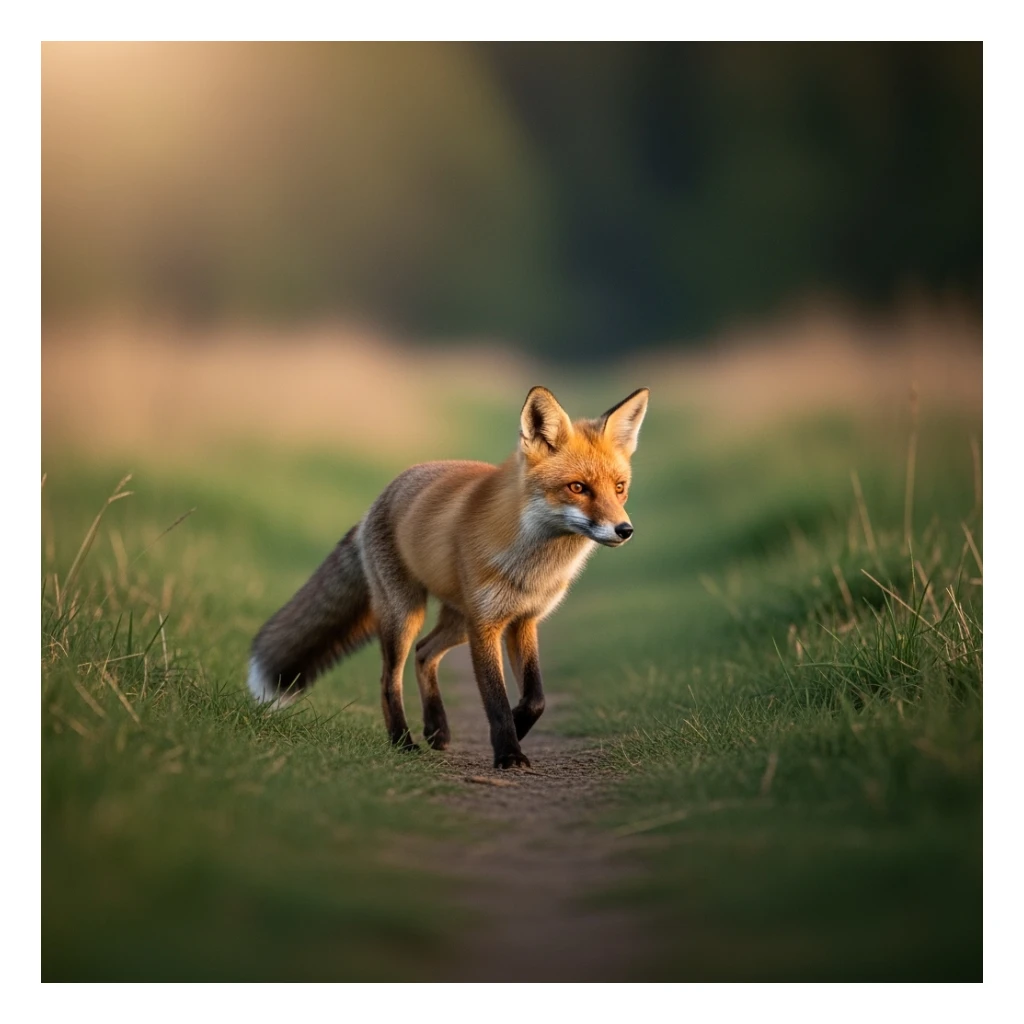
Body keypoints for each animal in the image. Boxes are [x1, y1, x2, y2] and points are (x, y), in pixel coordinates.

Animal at [247, 385, 649, 769]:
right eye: (577, 487)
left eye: (619, 488)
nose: (625, 530)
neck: (533, 565)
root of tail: (376, 502)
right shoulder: (486, 624)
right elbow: (495, 698)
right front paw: (508, 753)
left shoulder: (523, 620)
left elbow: (535, 698)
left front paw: (518, 728)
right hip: (407, 614)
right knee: (389, 679)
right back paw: (403, 741)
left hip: (457, 621)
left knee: (425, 653)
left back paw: (437, 728)